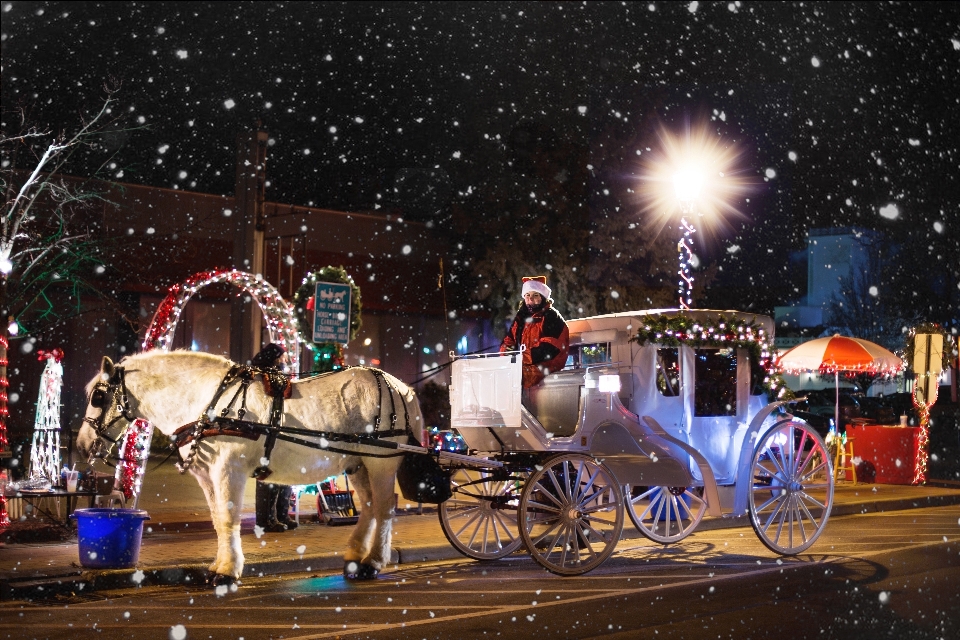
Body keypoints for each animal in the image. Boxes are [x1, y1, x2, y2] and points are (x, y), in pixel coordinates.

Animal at [75, 350, 420, 584]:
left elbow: (228, 518)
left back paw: (373, 562)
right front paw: (218, 566)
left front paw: (228, 572)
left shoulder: (229, 470)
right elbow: (218, 520)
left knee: (385, 508)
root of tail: (401, 387)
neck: (208, 403)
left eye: (98, 397)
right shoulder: (206, 475)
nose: (81, 445)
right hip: (356, 464)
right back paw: (356, 558)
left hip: (380, 464)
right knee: (370, 506)